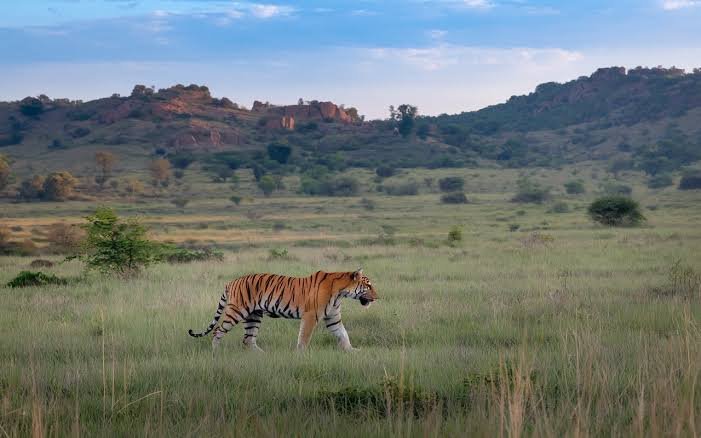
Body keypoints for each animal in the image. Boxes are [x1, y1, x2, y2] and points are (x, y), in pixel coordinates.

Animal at [188, 269, 377, 351]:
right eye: (368, 286)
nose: (377, 297)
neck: (340, 292)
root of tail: (231, 282)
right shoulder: (311, 316)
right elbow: (304, 337)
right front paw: (300, 354)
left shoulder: (333, 318)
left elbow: (343, 334)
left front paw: (352, 351)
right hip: (236, 312)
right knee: (217, 331)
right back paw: (216, 353)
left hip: (253, 316)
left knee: (248, 339)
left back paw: (263, 355)